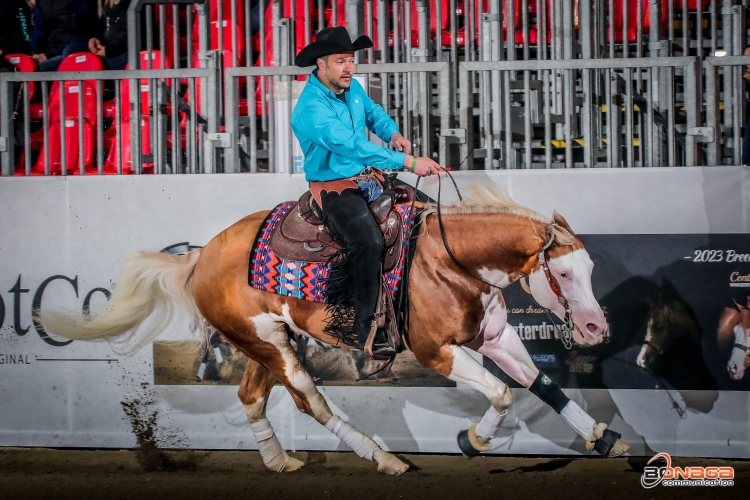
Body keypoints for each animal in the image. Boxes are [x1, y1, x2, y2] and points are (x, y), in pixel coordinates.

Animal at [39, 186, 628, 474]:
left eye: (591, 266)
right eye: (564, 273)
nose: (596, 326)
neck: (449, 261)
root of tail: (201, 257)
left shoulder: (494, 339)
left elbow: (540, 385)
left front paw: (605, 438)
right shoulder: (437, 351)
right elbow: (504, 394)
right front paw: (473, 440)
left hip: (266, 341)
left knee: (251, 395)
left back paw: (280, 462)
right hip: (272, 348)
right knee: (309, 401)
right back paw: (384, 459)